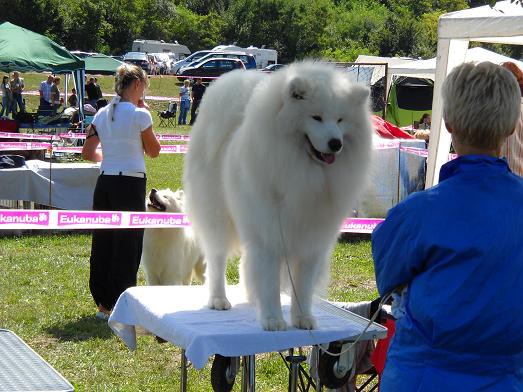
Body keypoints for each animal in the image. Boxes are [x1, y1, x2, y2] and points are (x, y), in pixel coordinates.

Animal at [183, 62, 372, 330]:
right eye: (316, 117)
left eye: (340, 119)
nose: (336, 143)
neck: (305, 173)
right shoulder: (270, 233)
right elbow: (270, 281)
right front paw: (273, 319)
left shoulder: (312, 240)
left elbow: (302, 287)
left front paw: (303, 319)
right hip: (217, 217)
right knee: (217, 260)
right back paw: (219, 299)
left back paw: (252, 298)